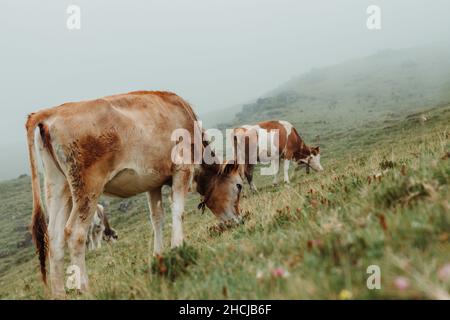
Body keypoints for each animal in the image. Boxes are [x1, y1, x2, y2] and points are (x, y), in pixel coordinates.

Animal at [25, 90, 243, 298]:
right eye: (239, 186)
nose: (240, 220)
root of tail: (51, 112)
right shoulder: (182, 170)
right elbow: (178, 211)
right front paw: (178, 246)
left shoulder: (153, 182)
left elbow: (157, 218)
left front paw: (159, 254)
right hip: (88, 187)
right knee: (75, 233)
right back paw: (84, 288)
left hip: (57, 186)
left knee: (54, 237)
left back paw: (59, 293)